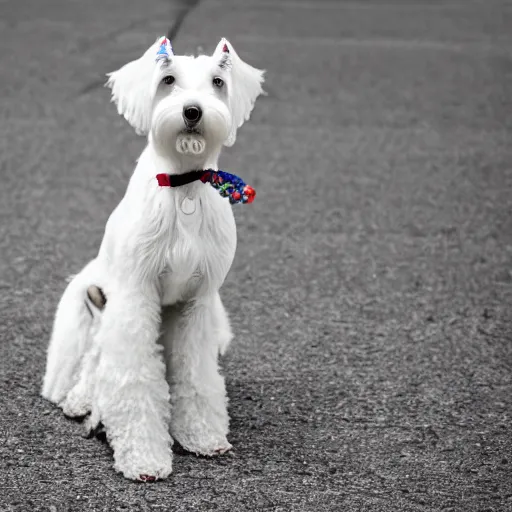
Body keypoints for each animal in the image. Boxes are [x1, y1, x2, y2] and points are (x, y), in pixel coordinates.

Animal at [41, 38, 264, 482]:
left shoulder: (198, 302)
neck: (184, 184)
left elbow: (196, 374)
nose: (193, 111)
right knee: (93, 360)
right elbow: (132, 377)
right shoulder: (134, 298)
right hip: (90, 299)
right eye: (168, 79)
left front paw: (201, 435)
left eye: (218, 81)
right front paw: (143, 457)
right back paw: (80, 401)